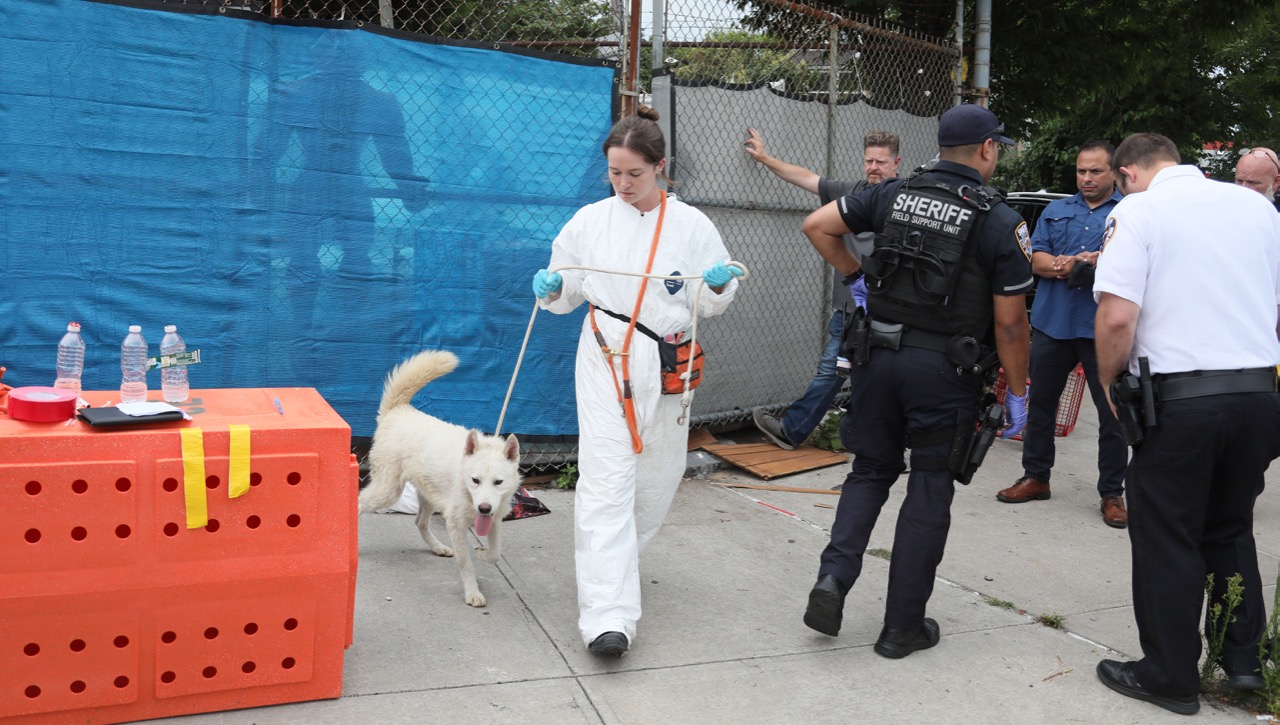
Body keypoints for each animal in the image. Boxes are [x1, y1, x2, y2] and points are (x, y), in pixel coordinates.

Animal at [355, 350, 519, 607]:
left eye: (498, 482)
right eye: (475, 480)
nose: (483, 508)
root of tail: (398, 410)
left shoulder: (494, 518)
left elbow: (495, 553)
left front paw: (483, 553)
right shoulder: (456, 525)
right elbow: (466, 564)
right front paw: (472, 592)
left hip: (429, 495)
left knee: (420, 523)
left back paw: (438, 547)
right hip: (388, 491)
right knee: (360, 503)